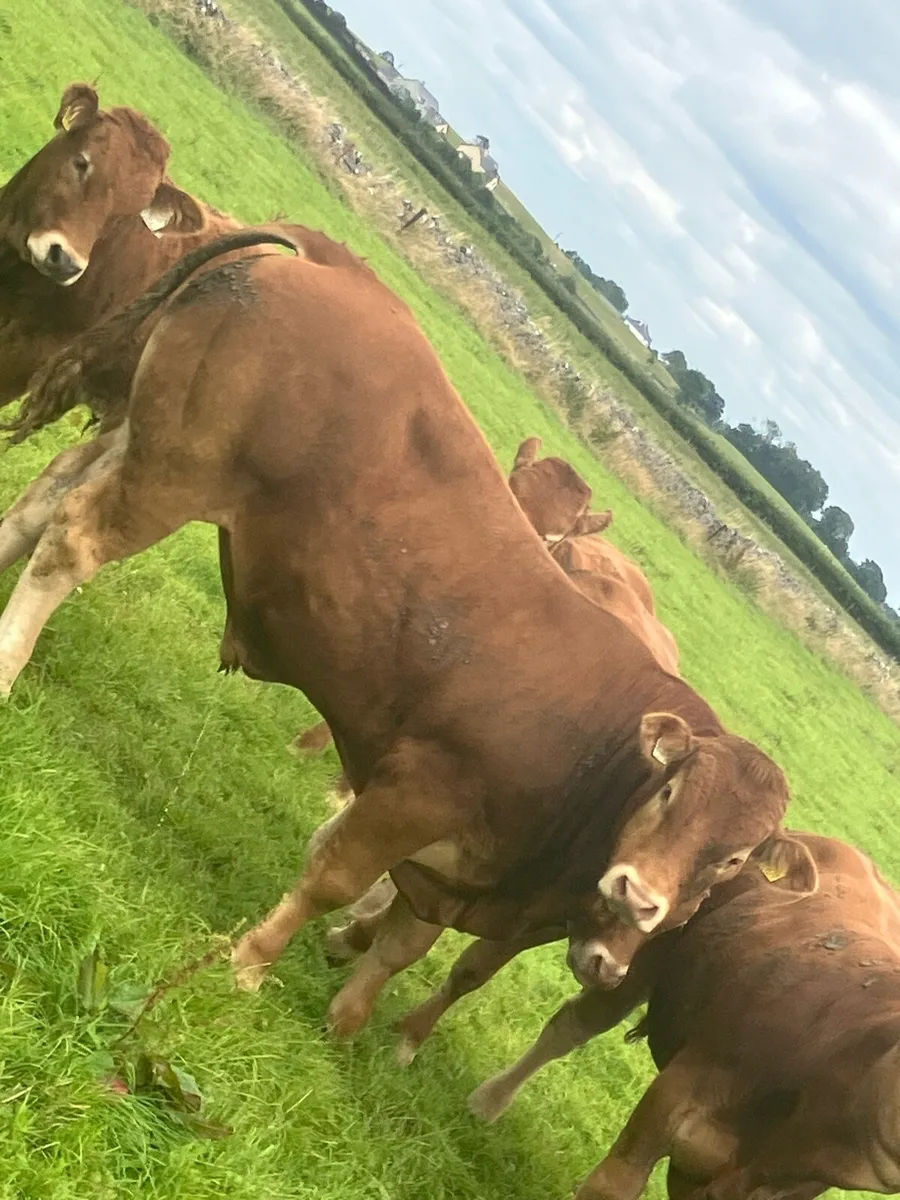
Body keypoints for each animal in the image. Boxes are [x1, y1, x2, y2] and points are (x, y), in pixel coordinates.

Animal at [0, 228, 813, 1042]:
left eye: (733, 861)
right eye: (671, 790)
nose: (638, 896)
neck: (596, 754)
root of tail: (330, 263)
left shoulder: (455, 868)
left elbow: (399, 941)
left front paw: (345, 1011)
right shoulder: (414, 792)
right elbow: (334, 876)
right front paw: (251, 962)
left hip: (134, 439)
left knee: (39, 505)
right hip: (174, 474)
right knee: (69, 541)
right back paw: (9, 667)